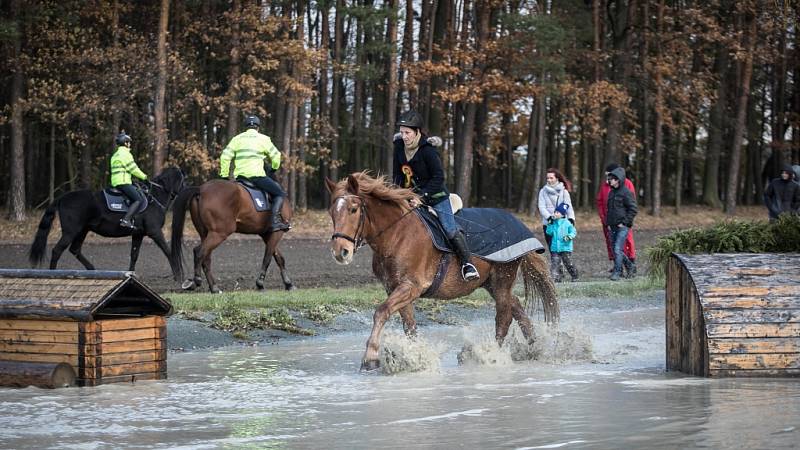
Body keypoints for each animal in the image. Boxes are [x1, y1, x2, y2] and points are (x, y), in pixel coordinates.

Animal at [28, 165, 188, 278]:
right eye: (184, 180)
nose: (187, 192)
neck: (155, 197)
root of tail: (63, 198)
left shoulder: (138, 234)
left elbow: (134, 255)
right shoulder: (155, 232)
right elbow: (168, 252)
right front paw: (179, 276)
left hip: (82, 230)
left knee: (75, 249)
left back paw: (92, 270)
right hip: (71, 232)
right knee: (57, 250)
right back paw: (53, 274)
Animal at [324, 171, 556, 370]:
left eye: (353, 209)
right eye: (332, 212)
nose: (340, 252)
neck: (397, 234)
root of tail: (517, 222)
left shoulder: (411, 286)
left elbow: (381, 312)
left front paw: (370, 358)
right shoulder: (395, 288)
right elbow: (409, 326)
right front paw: (414, 357)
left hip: (502, 278)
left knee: (504, 318)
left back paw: (490, 354)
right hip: (491, 283)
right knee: (516, 308)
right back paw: (534, 347)